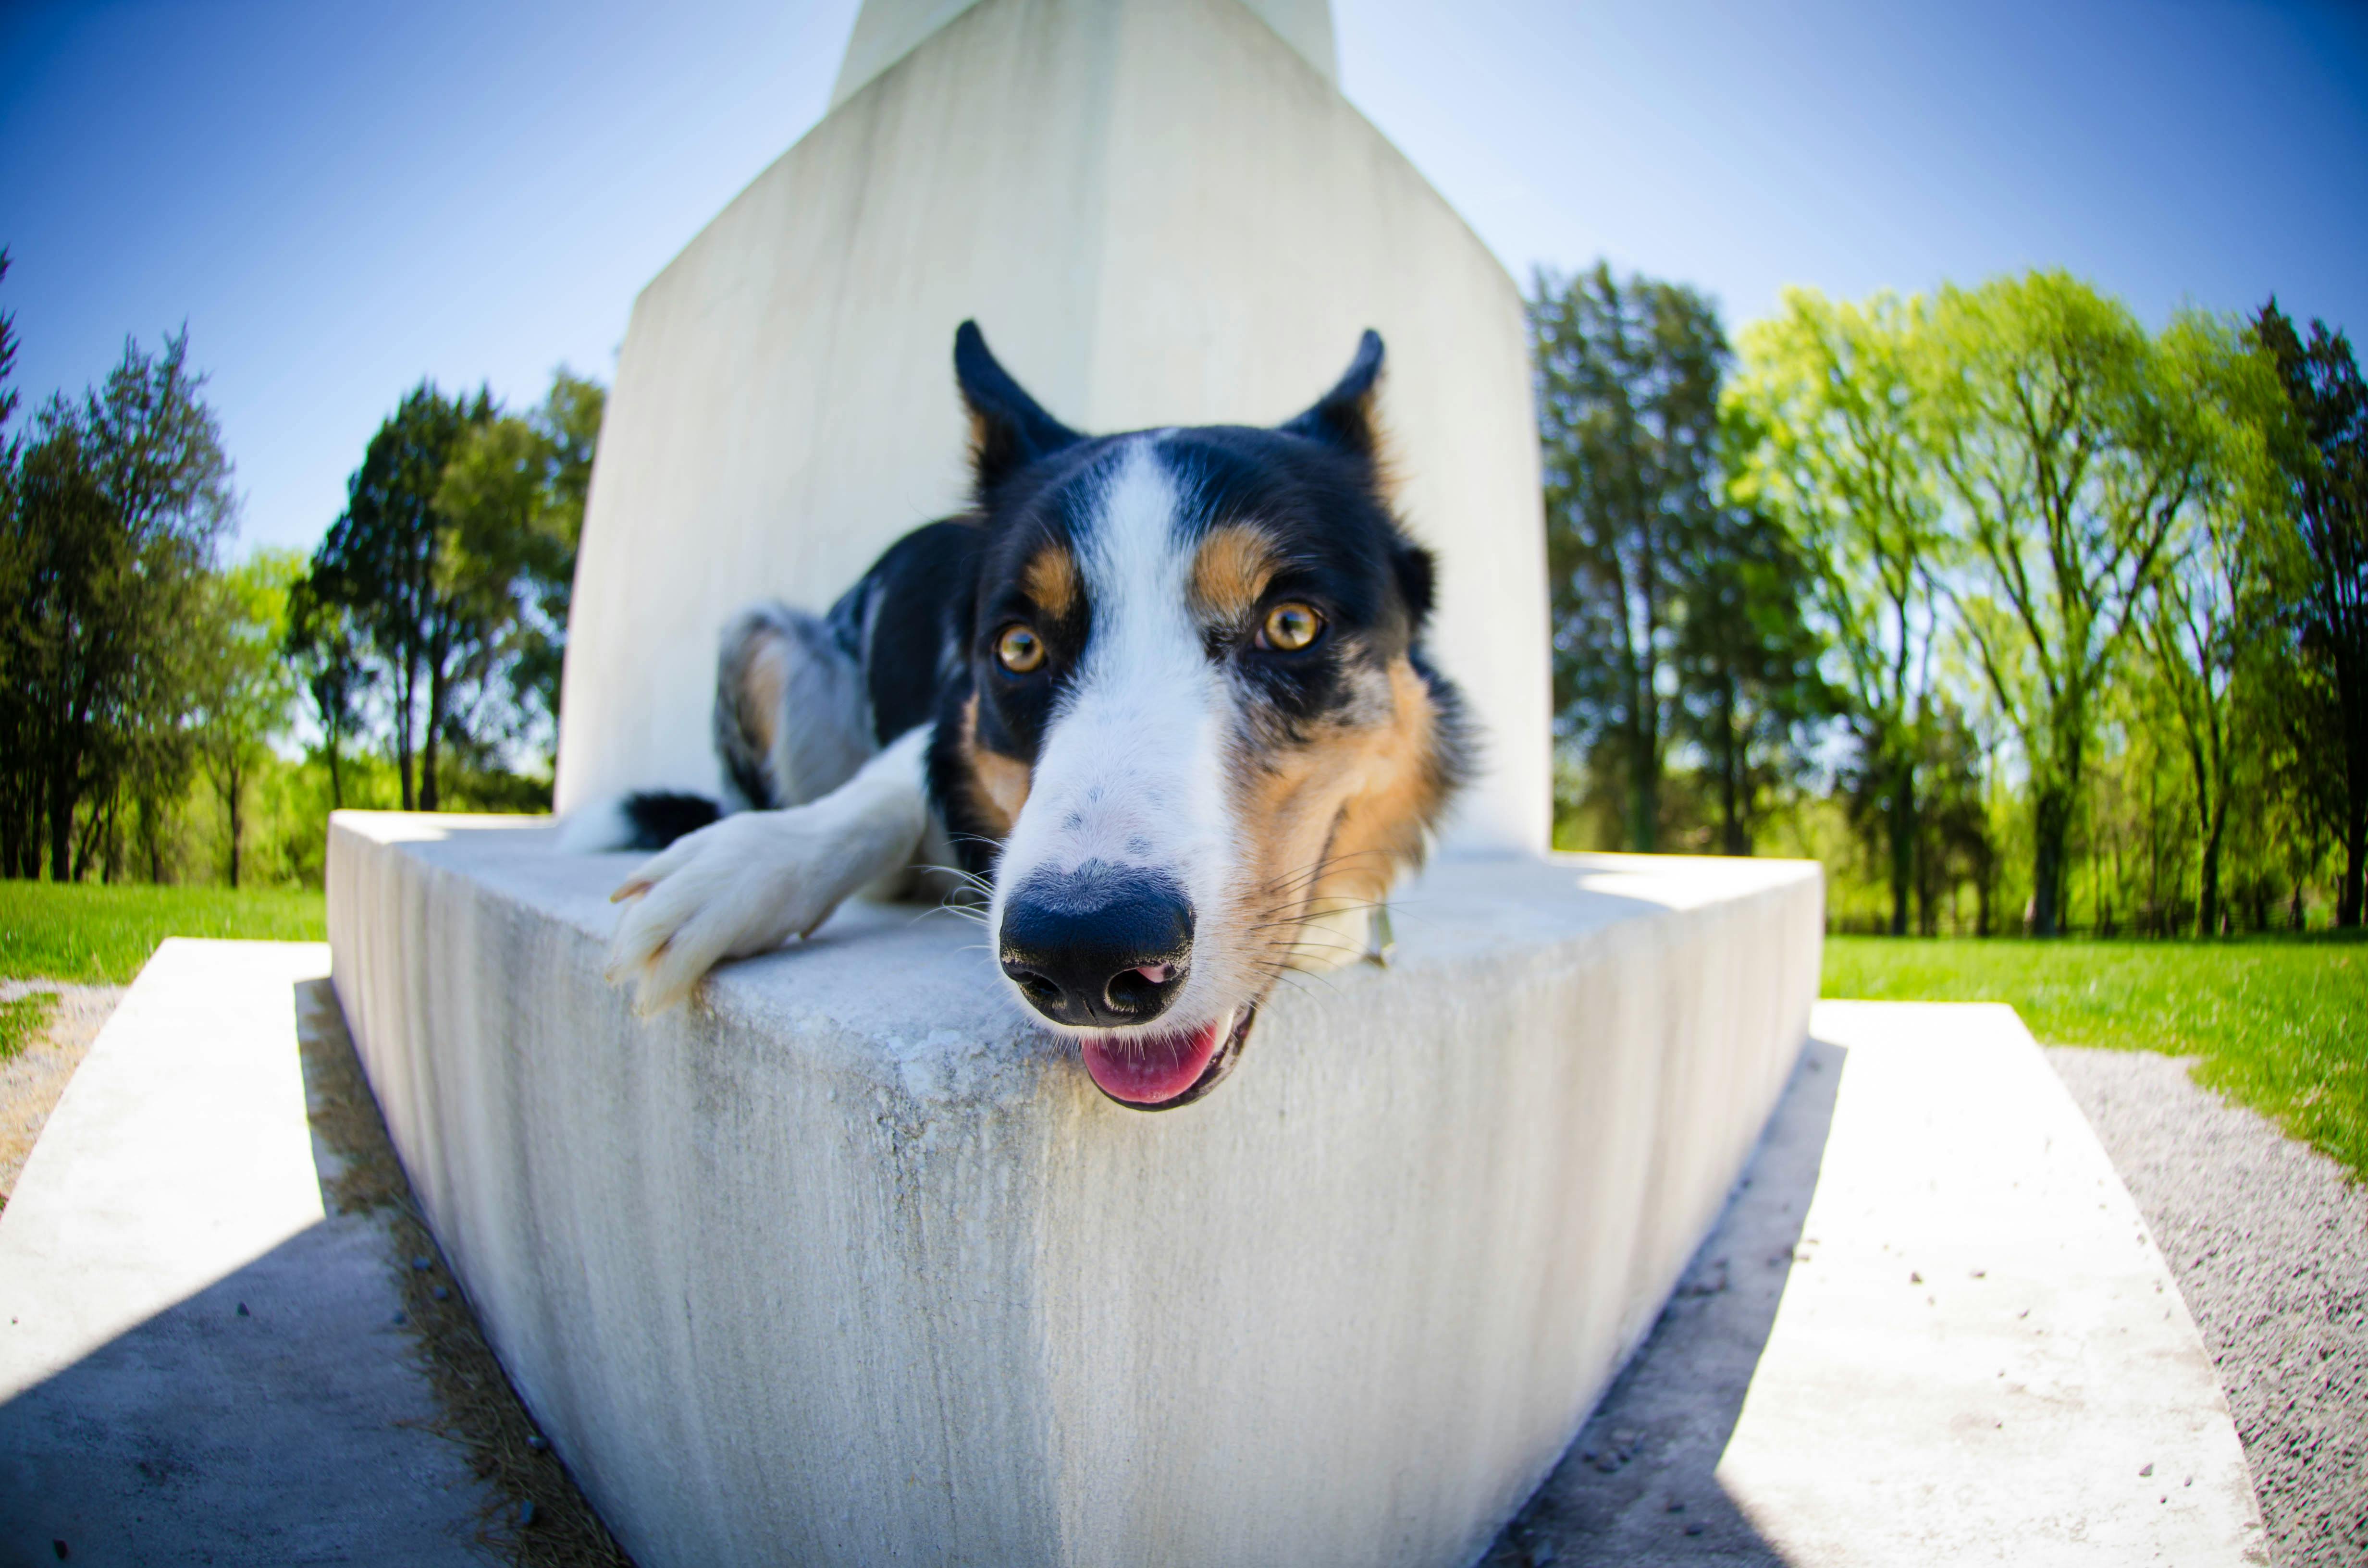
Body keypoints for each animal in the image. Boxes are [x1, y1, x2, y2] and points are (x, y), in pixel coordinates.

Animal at [568, 319, 1458, 1113]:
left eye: (1292, 625)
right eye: (1020, 646)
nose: (1083, 954)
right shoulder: (938, 717)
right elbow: (884, 787)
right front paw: (748, 861)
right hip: (761, 637)